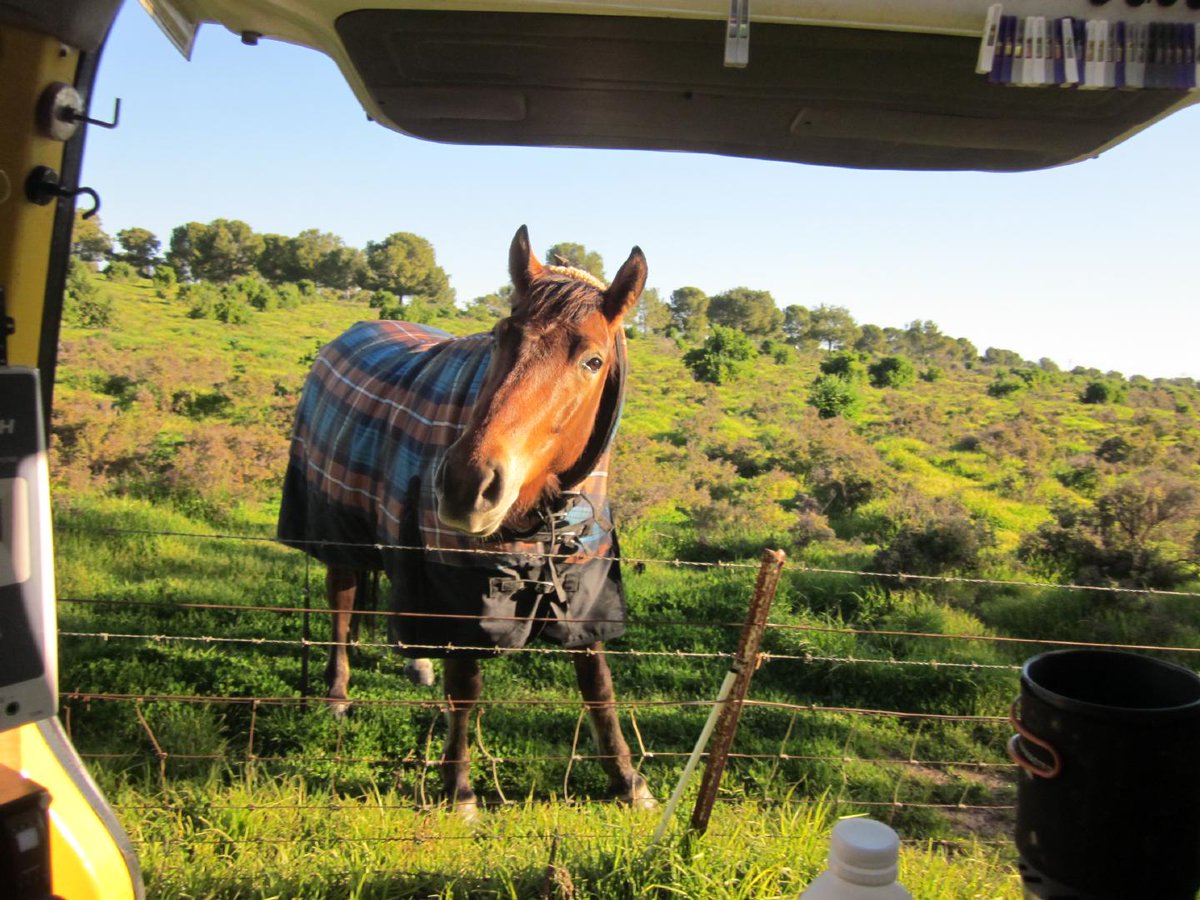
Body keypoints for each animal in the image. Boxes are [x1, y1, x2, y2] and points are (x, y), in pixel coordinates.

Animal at [277, 225, 653, 814]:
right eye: (501, 336)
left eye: (592, 361)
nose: (464, 485)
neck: (543, 516)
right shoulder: (456, 583)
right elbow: (466, 686)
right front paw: (458, 790)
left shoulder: (582, 579)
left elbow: (597, 681)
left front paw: (628, 780)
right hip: (339, 526)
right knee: (341, 598)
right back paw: (337, 693)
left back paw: (415, 665)